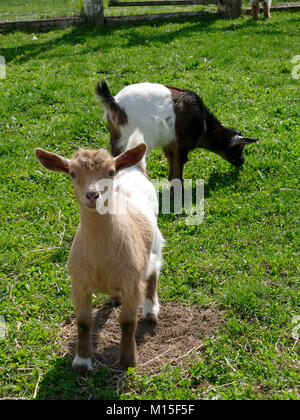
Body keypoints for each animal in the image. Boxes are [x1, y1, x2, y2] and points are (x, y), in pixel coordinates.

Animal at [34, 131, 164, 374]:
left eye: (110, 172)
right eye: (72, 173)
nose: (93, 195)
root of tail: (134, 169)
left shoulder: (132, 283)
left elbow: (128, 323)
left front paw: (128, 361)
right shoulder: (79, 283)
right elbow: (84, 322)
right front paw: (82, 361)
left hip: (156, 241)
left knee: (153, 271)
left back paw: (151, 311)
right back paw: (115, 298)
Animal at [96, 81, 258, 181]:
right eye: (239, 148)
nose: (242, 162)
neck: (203, 125)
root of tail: (115, 103)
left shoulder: (170, 143)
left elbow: (171, 160)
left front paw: (170, 181)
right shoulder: (183, 143)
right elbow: (180, 162)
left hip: (116, 137)